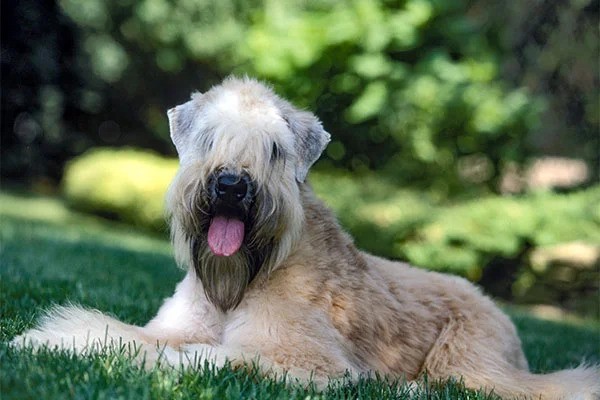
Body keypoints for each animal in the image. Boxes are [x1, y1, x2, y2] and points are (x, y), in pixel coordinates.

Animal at [11, 76, 596, 398]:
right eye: (209, 137)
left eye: (273, 149)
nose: (231, 185)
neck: (242, 280)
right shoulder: (169, 327)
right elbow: (115, 331)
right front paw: (50, 340)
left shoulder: (302, 359)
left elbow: (212, 356)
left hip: (470, 363)